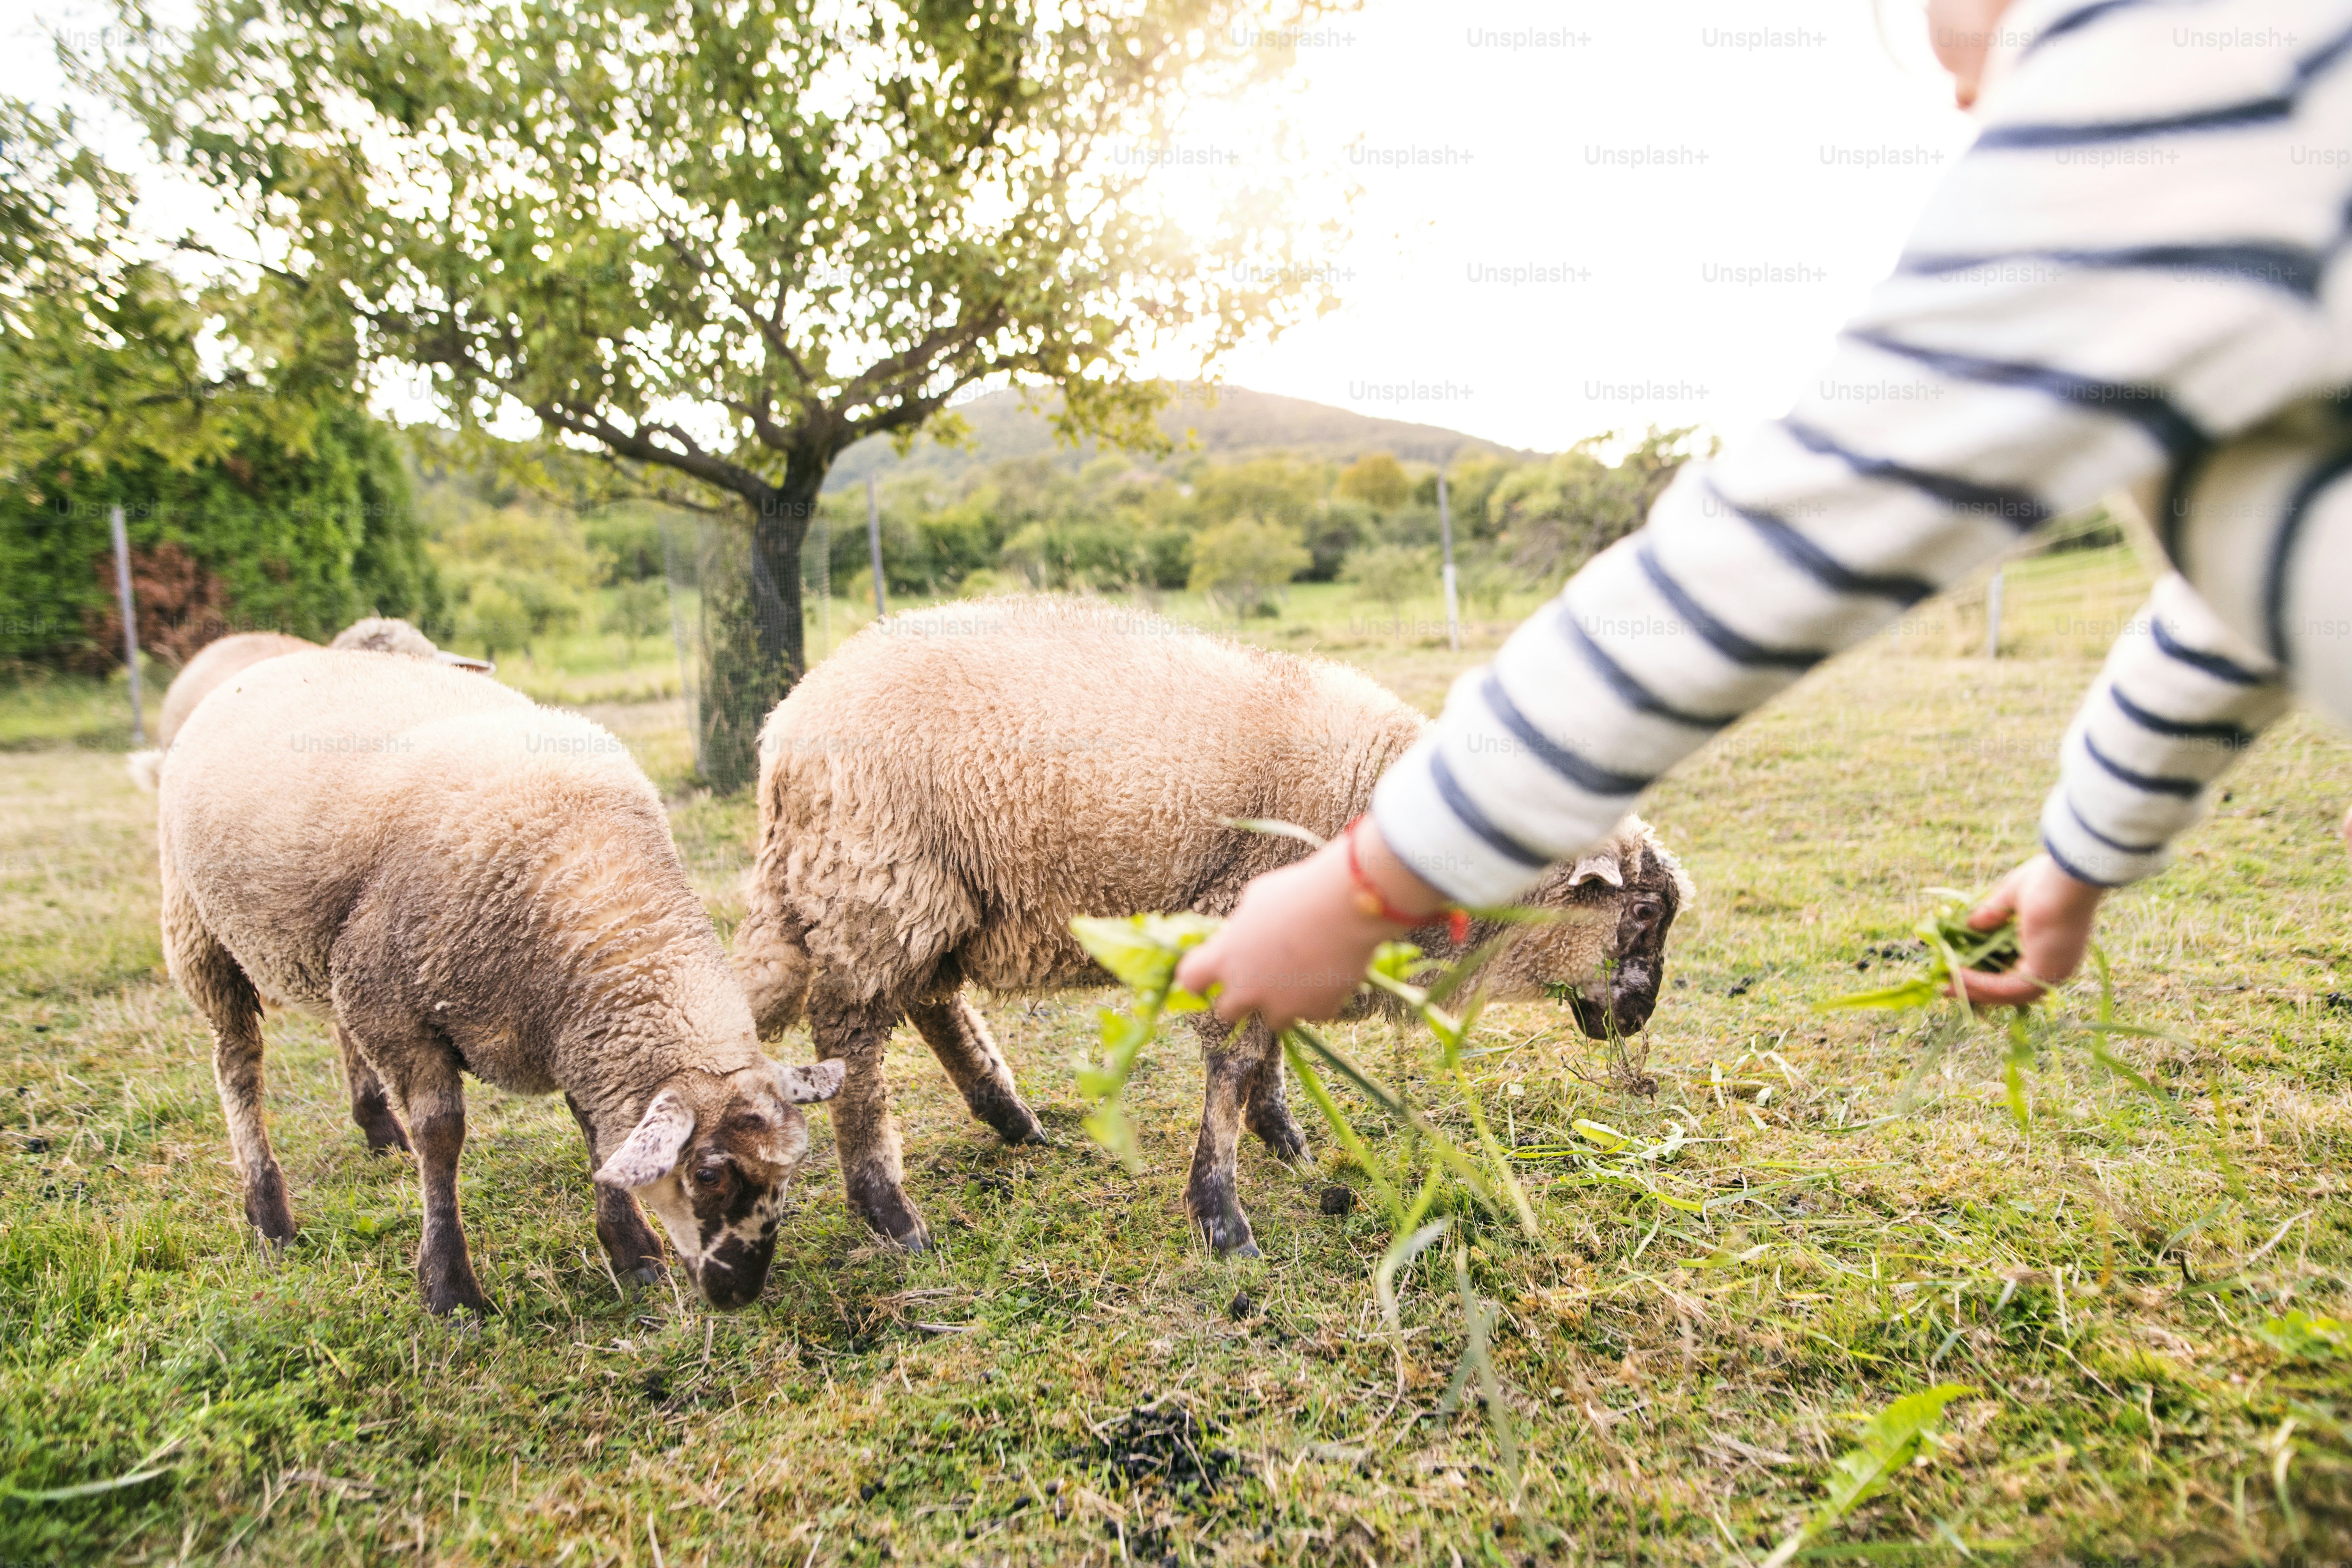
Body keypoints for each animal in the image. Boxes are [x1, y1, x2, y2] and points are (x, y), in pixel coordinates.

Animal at [158, 648, 843, 1314]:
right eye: (707, 1174)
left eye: (790, 1170)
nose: (739, 1293)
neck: (598, 893)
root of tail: (270, 658)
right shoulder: (396, 1011)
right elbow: (441, 1136)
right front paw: (449, 1288)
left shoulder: (561, 1027)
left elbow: (594, 1132)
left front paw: (631, 1249)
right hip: (199, 930)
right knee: (238, 1064)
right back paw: (269, 1213)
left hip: (336, 952)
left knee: (334, 1029)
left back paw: (377, 1131)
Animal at [735, 595, 1692, 1257]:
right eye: (1642, 911)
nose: (1642, 1010)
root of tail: (785, 727)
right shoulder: (1244, 914)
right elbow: (1234, 1064)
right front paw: (1222, 1216)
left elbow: (1267, 1053)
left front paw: (1287, 1142)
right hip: (877, 881)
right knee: (853, 1041)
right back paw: (891, 1212)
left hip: (926, 892)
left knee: (930, 1001)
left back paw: (1008, 1116)